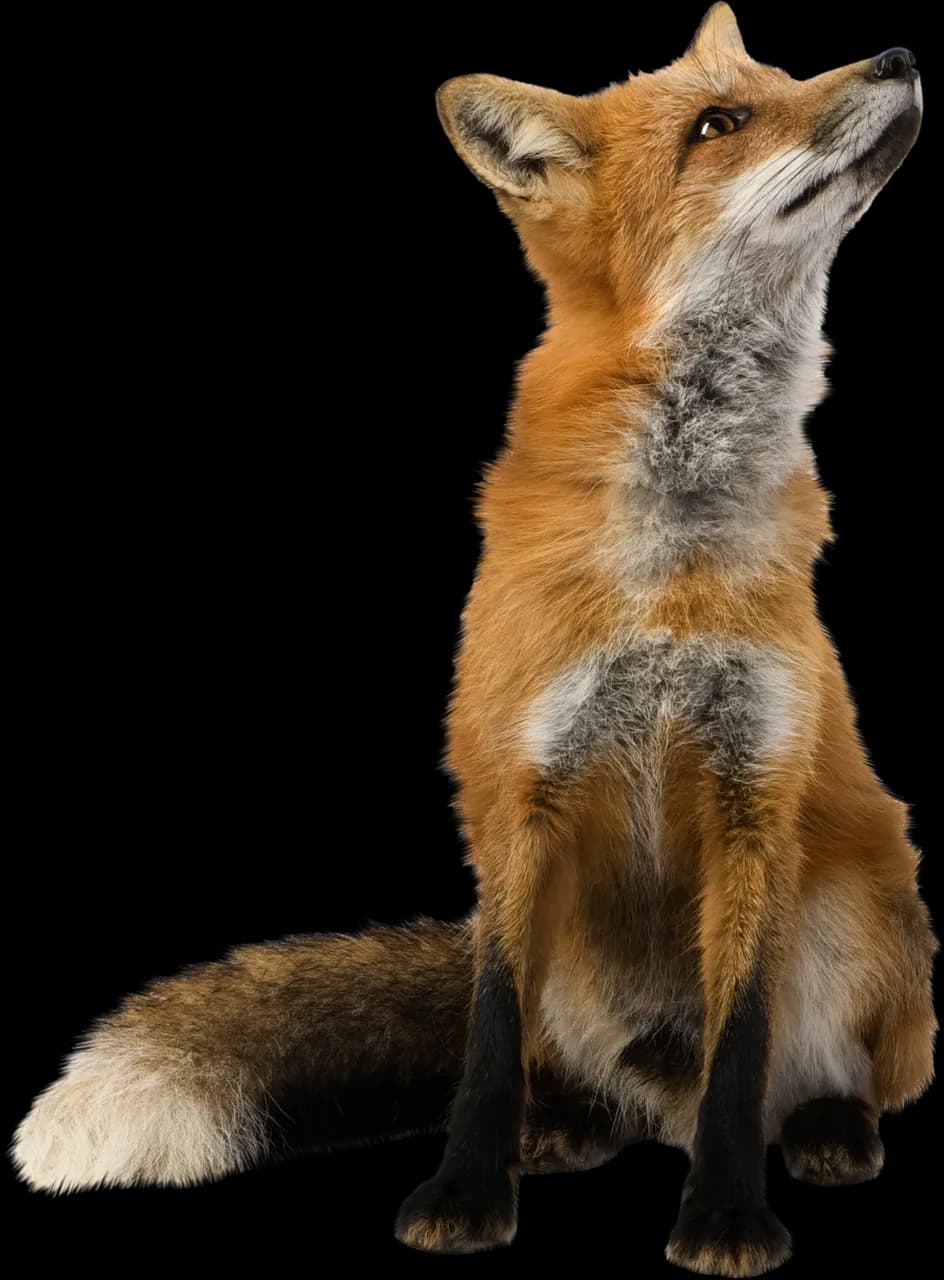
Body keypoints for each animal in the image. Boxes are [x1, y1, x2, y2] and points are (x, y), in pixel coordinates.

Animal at [12, 6, 937, 1276]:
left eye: (777, 74)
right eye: (720, 120)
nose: (896, 56)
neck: (666, 562)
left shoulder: (755, 789)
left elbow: (742, 1040)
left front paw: (723, 1215)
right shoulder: (517, 792)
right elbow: (488, 1036)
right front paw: (462, 1192)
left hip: (855, 909)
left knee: (796, 1077)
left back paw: (824, 1128)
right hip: (571, 952)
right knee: (572, 1068)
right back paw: (567, 1125)